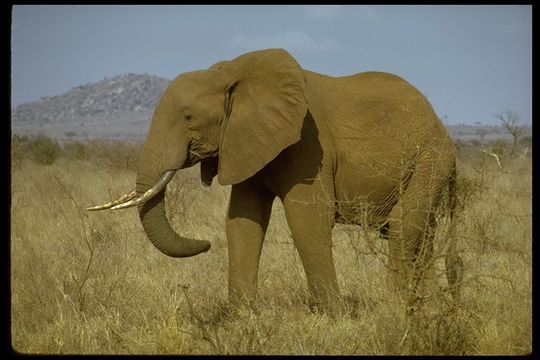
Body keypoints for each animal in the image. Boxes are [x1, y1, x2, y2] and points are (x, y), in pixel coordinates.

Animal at [87, 48, 460, 312]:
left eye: (188, 117)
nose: (204, 244)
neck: (229, 74)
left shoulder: (309, 142)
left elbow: (306, 216)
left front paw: (333, 314)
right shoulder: (246, 141)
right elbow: (242, 218)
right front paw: (240, 315)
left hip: (430, 159)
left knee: (402, 226)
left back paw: (395, 307)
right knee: (419, 233)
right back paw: (425, 308)